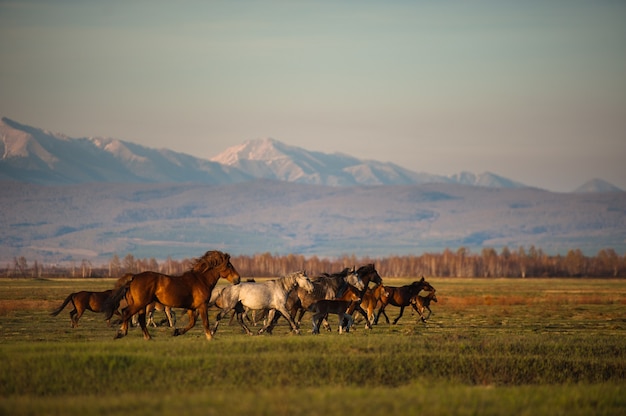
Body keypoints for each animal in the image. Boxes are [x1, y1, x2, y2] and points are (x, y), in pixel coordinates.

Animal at [105, 250, 239, 342]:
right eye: (229, 265)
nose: (238, 279)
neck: (201, 280)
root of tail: (134, 277)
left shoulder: (191, 308)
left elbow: (192, 323)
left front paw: (177, 331)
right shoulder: (202, 306)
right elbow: (205, 322)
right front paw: (210, 337)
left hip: (142, 305)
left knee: (140, 319)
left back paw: (148, 338)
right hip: (140, 303)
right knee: (127, 312)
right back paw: (121, 333)